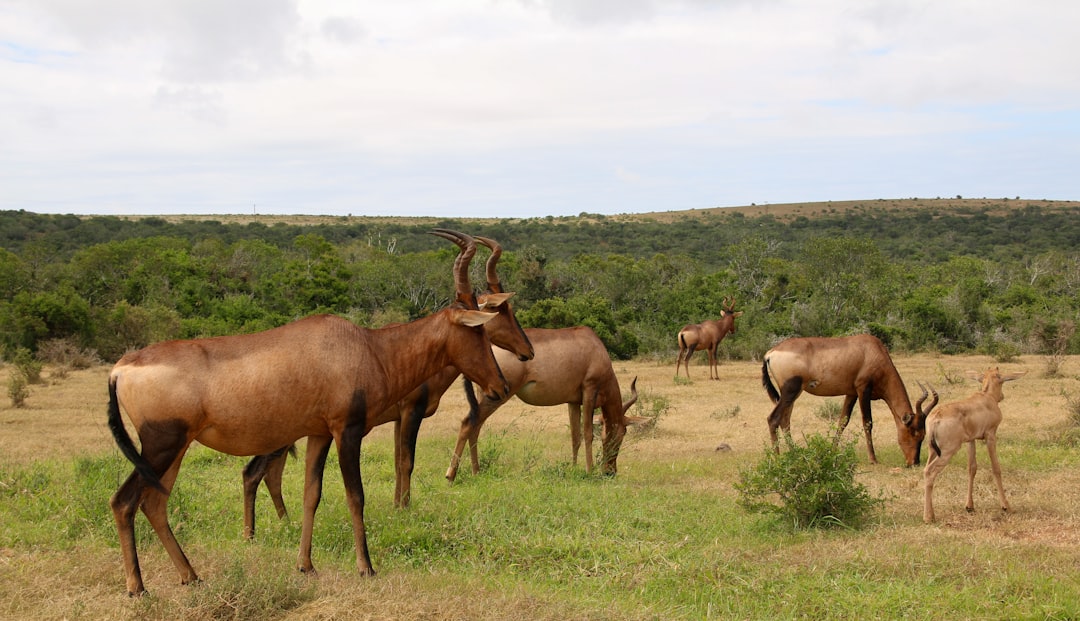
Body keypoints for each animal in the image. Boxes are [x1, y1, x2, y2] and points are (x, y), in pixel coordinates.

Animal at [243, 237, 533, 535]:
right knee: (253, 472)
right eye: (501, 311)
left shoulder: (396, 418)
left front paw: (396, 507)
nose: (528, 351)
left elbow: (396, 460)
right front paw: (405, 508)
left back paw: (285, 522)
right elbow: (407, 461)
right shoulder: (411, 413)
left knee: (271, 473)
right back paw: (254, 534)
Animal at [444, 328, 639, 483]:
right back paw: (451, 475)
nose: (610, 472)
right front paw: (589, 471)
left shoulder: (573, 401)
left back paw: (476, 472)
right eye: (622, 433)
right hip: (496, 396)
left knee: (475, 427)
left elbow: (575, 436)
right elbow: (588, 433)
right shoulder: (589, 390)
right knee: (468, 424)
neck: (595, 347)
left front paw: (573, 468)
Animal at [760, 334, 937, 466]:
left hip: (792, 394)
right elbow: (867, 422)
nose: (913, 463)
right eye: (914, 432)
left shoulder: (851, 393)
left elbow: (843, 421)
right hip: (790, 390)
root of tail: (771, 353)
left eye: (923, 434)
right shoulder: (863, 389)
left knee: (785, 420)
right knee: (773, 418)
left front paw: (832, 451)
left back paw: (794, 453)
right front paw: (873, 459)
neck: (871, 350)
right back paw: (778, 458)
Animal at [924, 369, 1023, 524]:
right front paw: (1006, 506)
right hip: (948, 451)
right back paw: (929, 517)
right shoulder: (990, 435)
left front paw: (969, 506)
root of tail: (936, 418)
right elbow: (996, 468)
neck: (986, 397)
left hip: (932, 450)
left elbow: (972, 468)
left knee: (924, 470)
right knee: (929, 471)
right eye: (1001, 378)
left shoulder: (971, 440)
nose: (1002, 396)